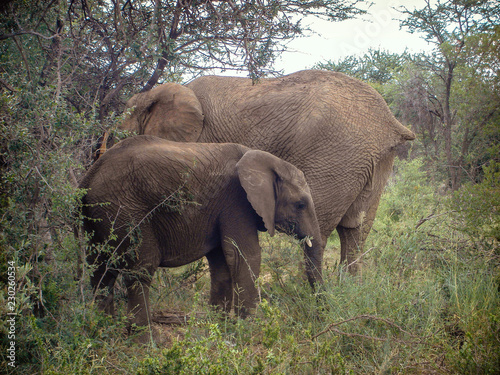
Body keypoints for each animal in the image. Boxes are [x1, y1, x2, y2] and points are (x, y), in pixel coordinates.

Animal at [78, 135, 320, 340]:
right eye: (300, 204)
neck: (267, 160)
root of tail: (88, 177)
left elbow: (222, 262)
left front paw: (220, 328)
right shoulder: (236, 201)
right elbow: (244, 255)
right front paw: (250, 331)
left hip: (99, 216)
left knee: (100, 269)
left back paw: (105, 331)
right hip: (126, 210)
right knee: (140, 269)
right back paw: (147, 341)